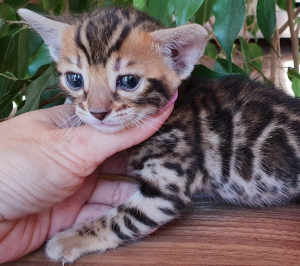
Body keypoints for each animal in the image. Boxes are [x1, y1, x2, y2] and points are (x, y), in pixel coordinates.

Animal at [18, 6, 300, 264]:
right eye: (75, 80)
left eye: (129, 81)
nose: (98, 113)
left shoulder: (166, 188)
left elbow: (120, 220)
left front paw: (69, 239)